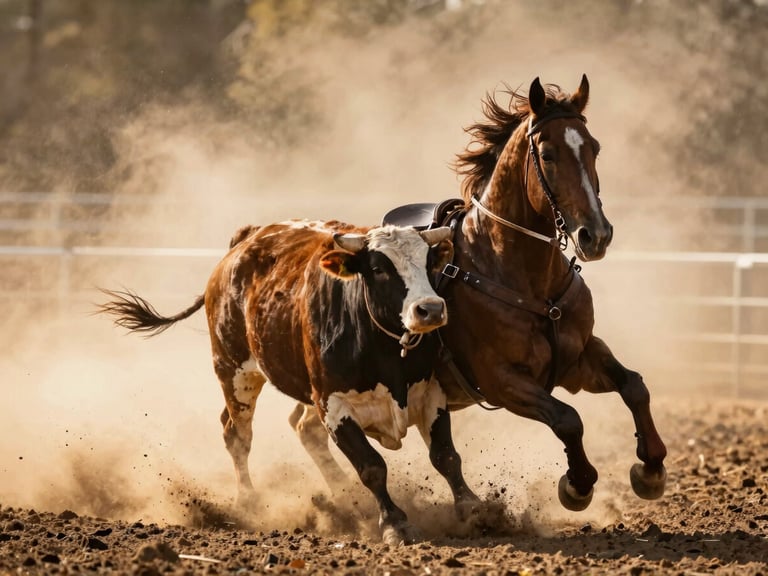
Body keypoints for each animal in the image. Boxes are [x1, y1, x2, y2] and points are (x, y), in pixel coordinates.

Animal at [99, 220, 480, 544]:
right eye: (379, 268)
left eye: (429, 262)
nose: (430, 309)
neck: (384, 350)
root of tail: (246, 238)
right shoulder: (333, 407)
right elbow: (372, 467)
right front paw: (394, 524)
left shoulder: (430, 395)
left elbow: (446, 456)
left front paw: (473, 508)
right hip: (234, 371)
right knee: (237, 435)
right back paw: (250, 501)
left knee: (300, 429)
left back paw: (346, 499)